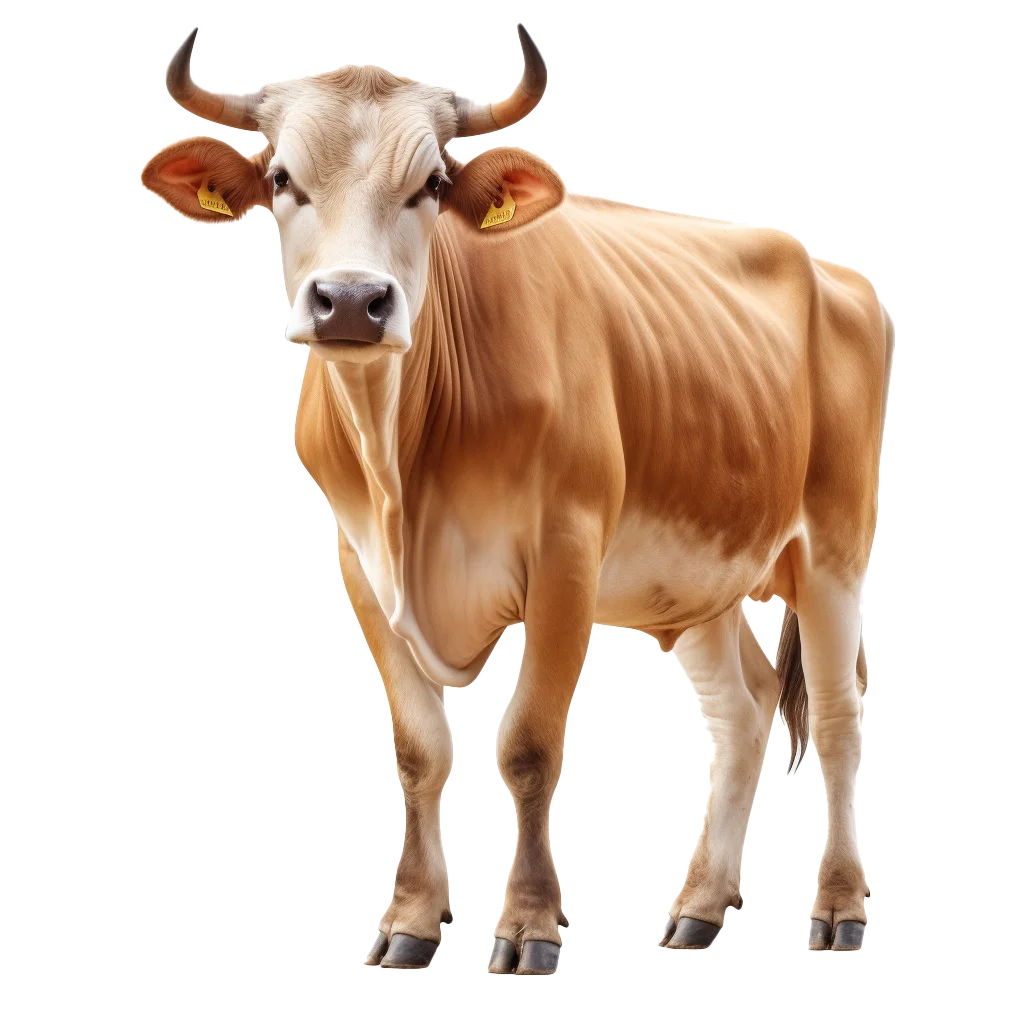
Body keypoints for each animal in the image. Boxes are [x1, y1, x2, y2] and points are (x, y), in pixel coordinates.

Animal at [140, 23, 894, 970]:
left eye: (431, 185)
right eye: (281, 179)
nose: (351, 301)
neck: (405, 467)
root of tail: (831, 270)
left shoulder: (567, 556)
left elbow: (530, 745)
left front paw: (529, 924)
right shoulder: (362, 567)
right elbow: (421, 750)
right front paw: (410, 922)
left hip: (834, 545)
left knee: (836, 718)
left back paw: (839, 909)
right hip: (699, 574)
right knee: (745, 705)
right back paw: (698, 909)